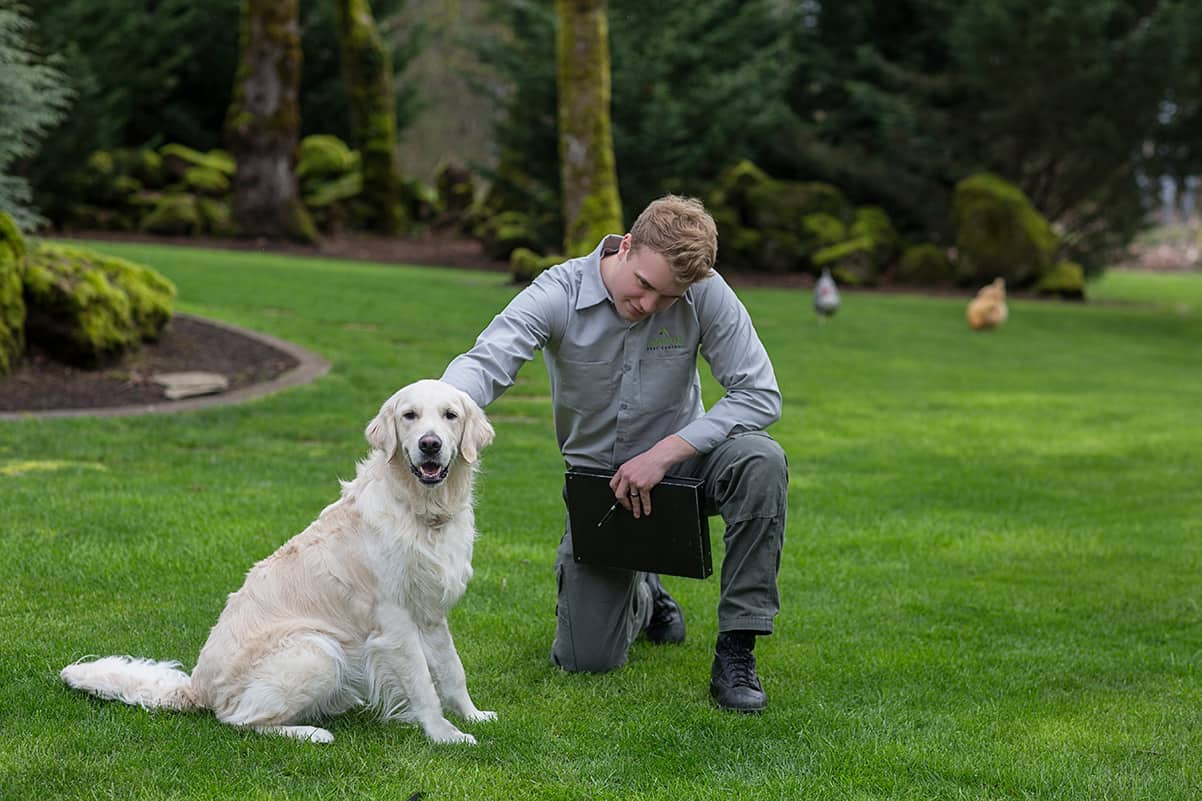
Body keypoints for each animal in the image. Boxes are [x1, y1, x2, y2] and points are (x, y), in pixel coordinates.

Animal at [59, 380, 492, 740]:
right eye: (409, 416)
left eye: (450, 415)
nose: (430, 444)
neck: (422, 510)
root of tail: (198, 686)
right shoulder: (394, 620)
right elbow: (422, 683)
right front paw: (445, 735)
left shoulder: (431, 612)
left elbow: (451, 669)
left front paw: (472, 715)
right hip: (317, 649)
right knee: (238, 720)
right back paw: (311, 733)